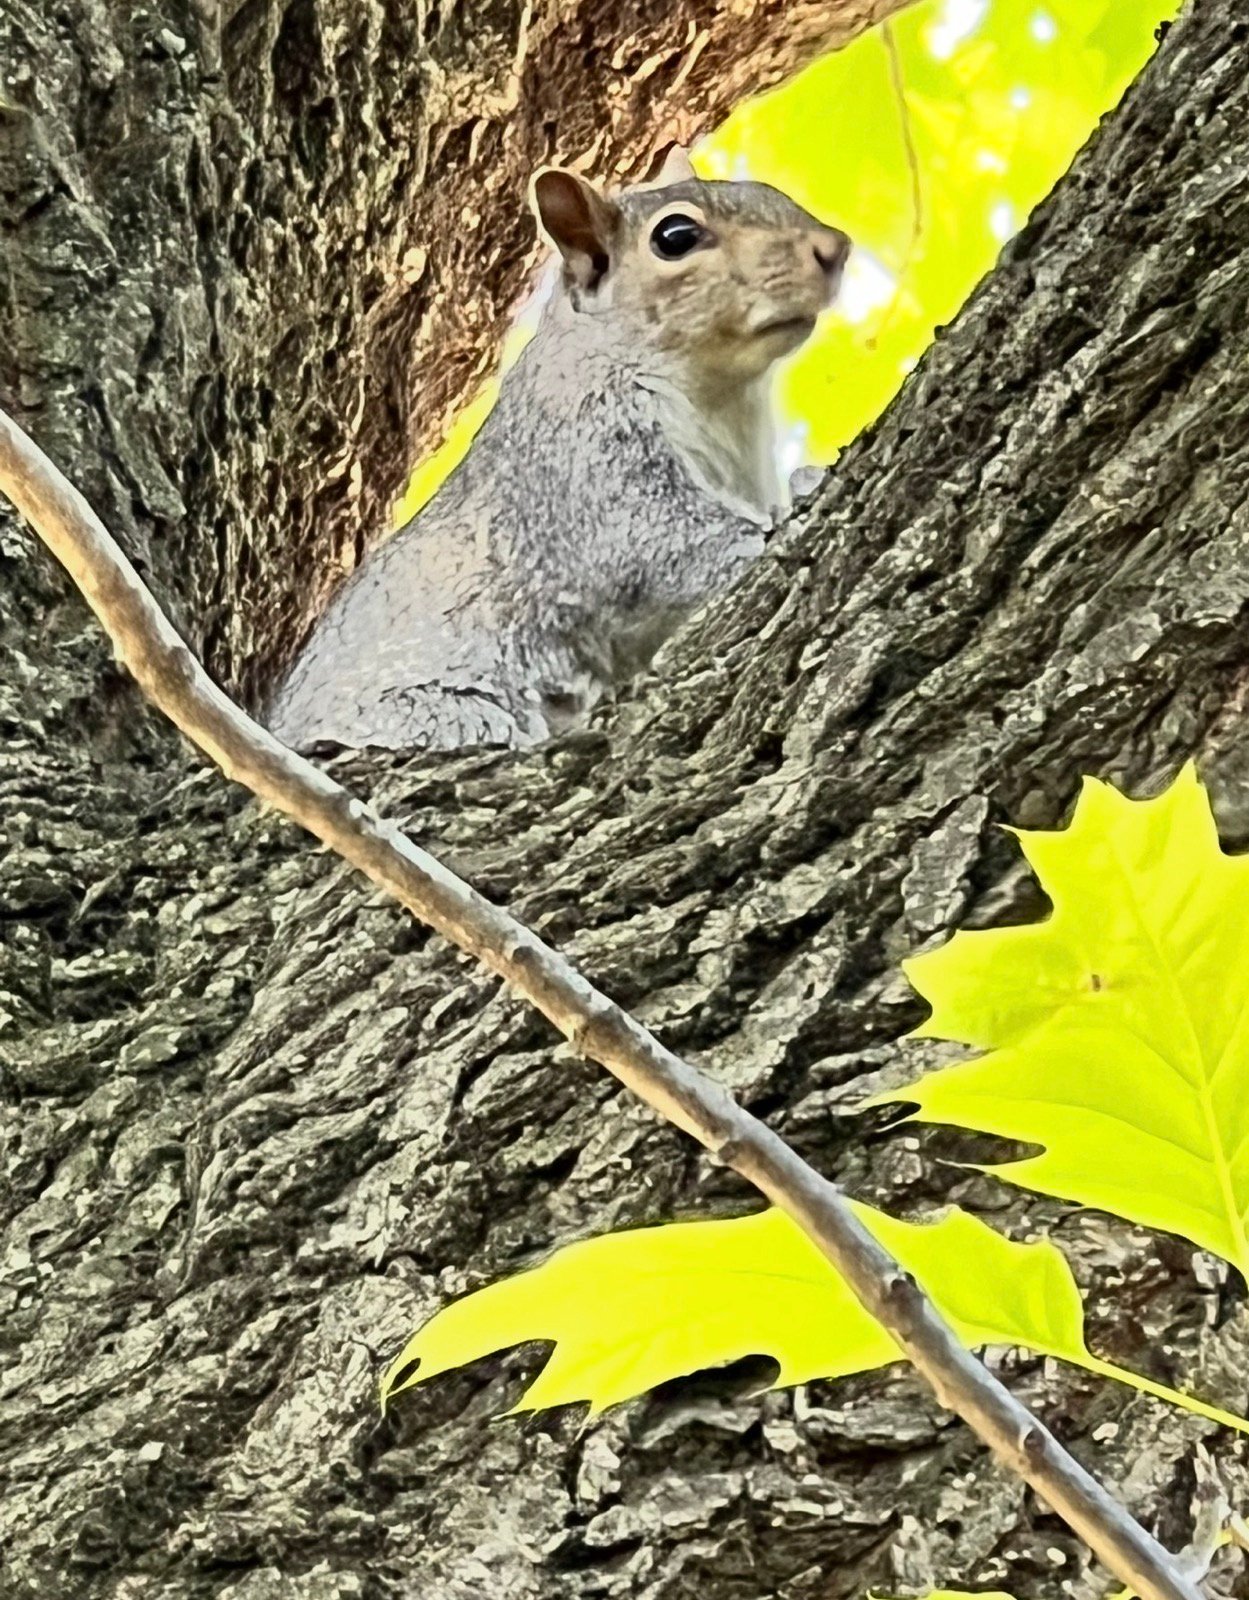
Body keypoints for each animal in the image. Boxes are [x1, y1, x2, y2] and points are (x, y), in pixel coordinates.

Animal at [268, 146, 849, 752]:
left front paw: (803, 483)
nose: (833, 248)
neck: (721, 400)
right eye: (675, 237)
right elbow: (667, 547)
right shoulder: (580, 460)